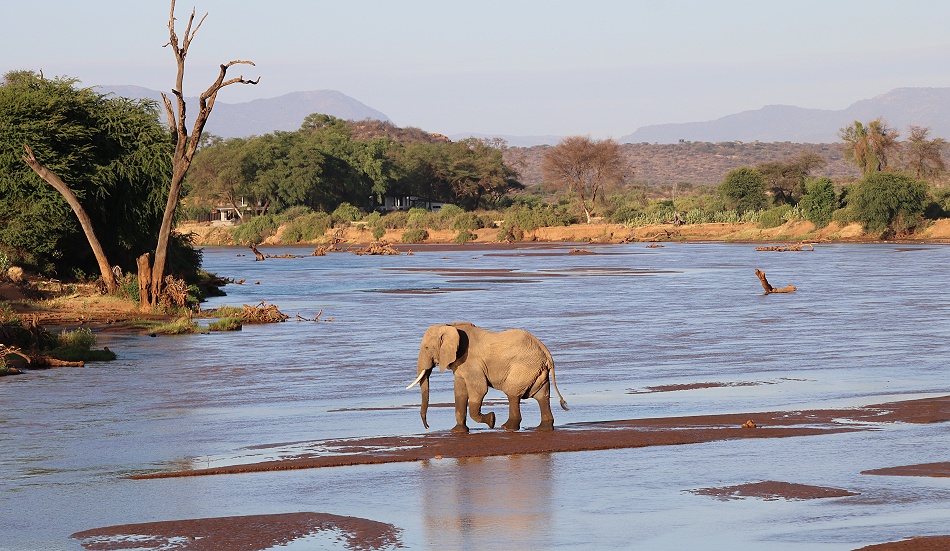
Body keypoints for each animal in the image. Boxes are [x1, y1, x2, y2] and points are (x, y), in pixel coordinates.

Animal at [406, 322, 567, 433]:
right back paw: (543, 428)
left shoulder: (472, 362)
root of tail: (547, 353)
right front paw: (457, 431)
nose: (427, 426)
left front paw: (491, 420)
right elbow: (460, 392)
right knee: (542, 396)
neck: (450, 327)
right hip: (537, 371)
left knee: (512, 393)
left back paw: (507, 427)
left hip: (525, 367)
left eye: (426, 348)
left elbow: (479, 390)